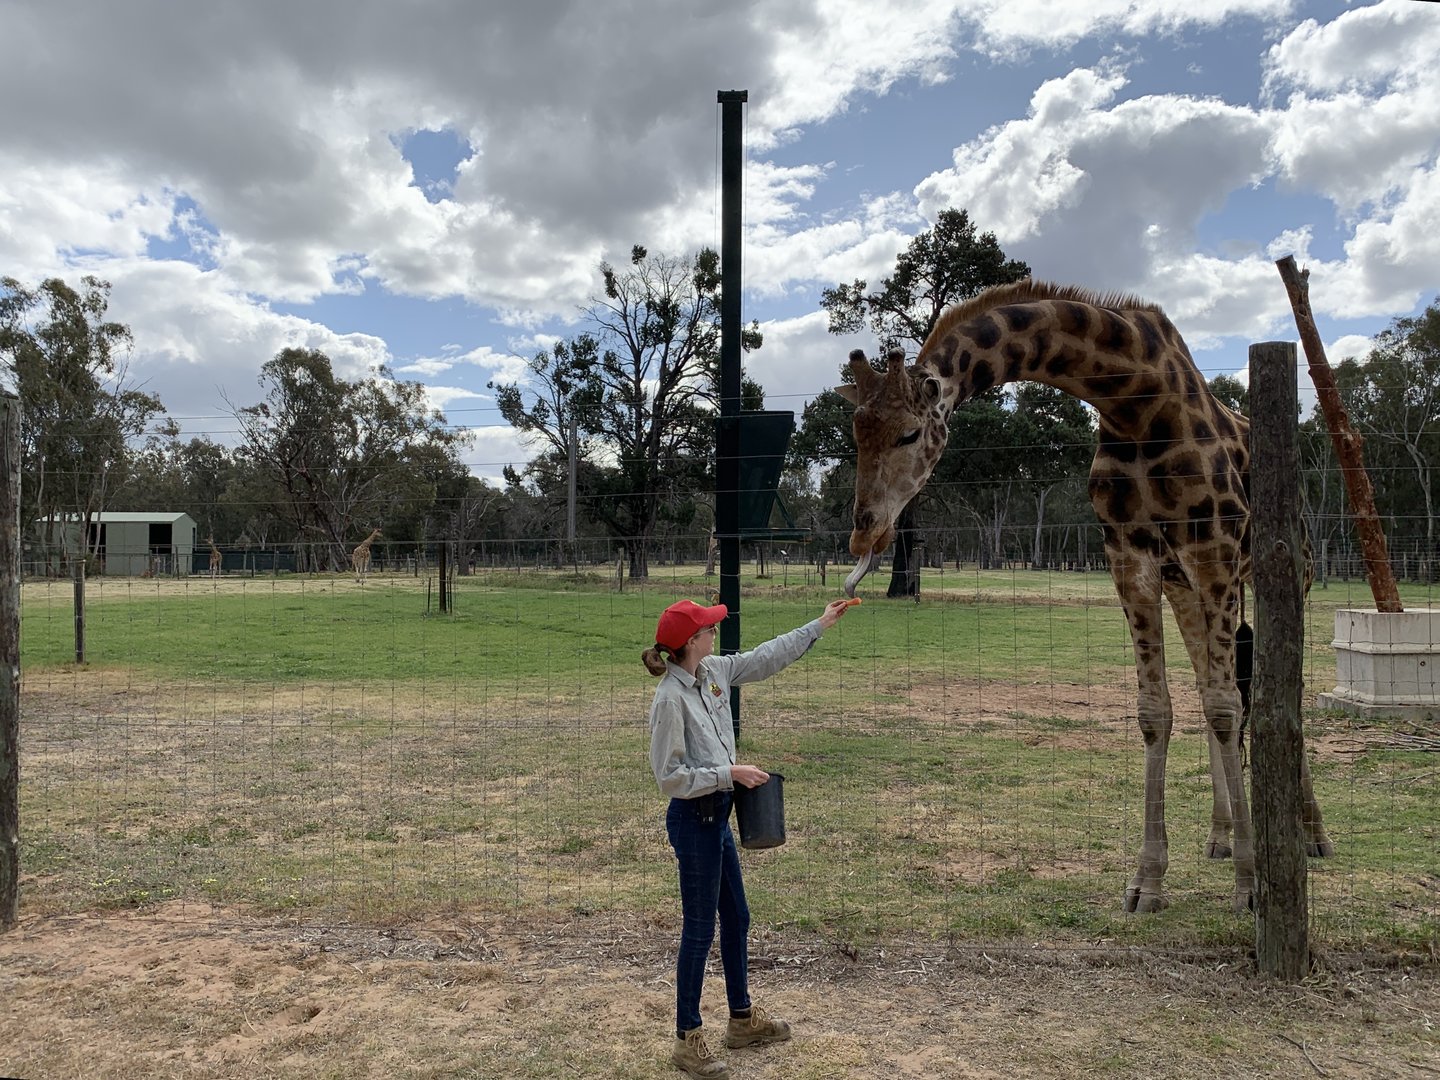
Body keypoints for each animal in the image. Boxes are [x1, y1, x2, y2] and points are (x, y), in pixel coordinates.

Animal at [836, 280, 1333, 915]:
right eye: (856, 433)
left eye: (909, 433)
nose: (864, 534)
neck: (1135, 400)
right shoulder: (1133, 559)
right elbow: (1158, 710)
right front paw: (1148, 881)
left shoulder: (1213, 553)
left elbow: (1229, 707)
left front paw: (1250, 886)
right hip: (1186, 589)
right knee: (1211, 688)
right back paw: (1219, 836)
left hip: (1289, 575)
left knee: (1270, 693)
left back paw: (1311, 836)